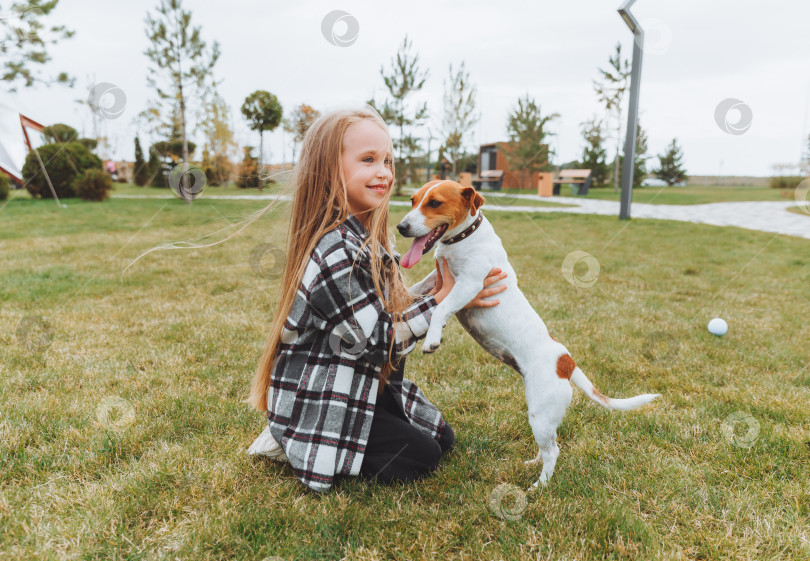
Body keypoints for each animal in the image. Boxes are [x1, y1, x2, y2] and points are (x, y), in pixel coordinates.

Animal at [394, 179, 660, 486]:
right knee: (547, 448)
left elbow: (440, 308)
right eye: (413, 200)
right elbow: (415, 292)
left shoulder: (470, 284)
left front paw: (433, 339)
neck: (462, 240)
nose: (401, 227)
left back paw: (539, 486)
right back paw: (534, 462)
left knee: (554, 451)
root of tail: (566, 362)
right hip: (542, 417)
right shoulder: (435, 279)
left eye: (434, 203)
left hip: (541, 415)